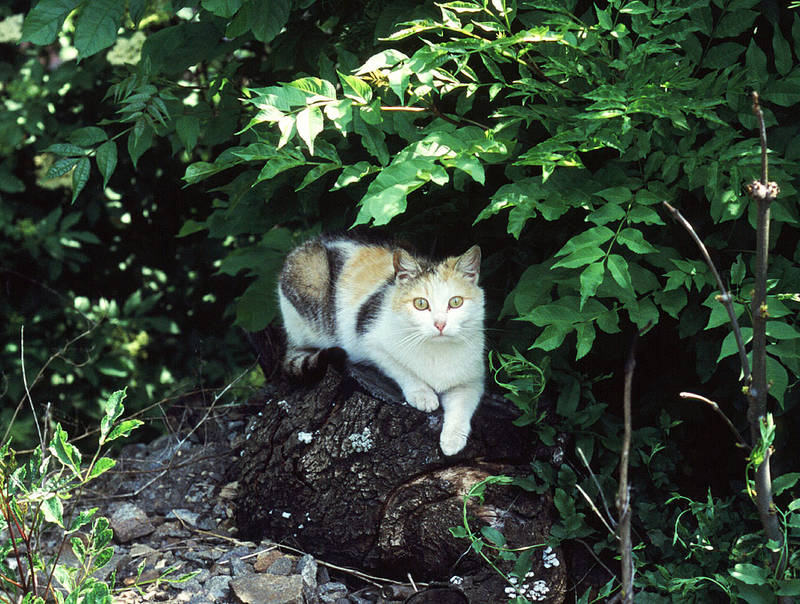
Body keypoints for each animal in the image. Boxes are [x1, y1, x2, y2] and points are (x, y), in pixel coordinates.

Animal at [278, 234, 484, 456]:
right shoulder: (369, 343)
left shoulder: (472, 379)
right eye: (421, 304)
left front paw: (452, 440)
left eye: (455, 302)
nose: (440, 324)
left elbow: (463, 405)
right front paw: (423, 395)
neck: (436, 351)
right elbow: (401, 369)